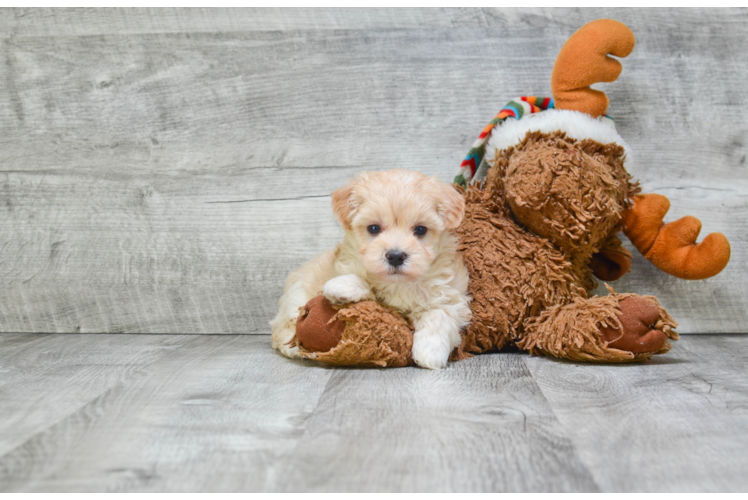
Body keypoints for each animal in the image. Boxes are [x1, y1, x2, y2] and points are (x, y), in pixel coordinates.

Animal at [268, 170, 470, 370]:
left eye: (420, 230)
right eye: (373, 228)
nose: (395, 256)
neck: (399, 283)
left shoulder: (451, 294)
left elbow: (440, 313)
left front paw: (430, 351)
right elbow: (366, 287)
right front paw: (342, 287)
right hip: (295, 297)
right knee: (282, 330)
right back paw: (298, 348)